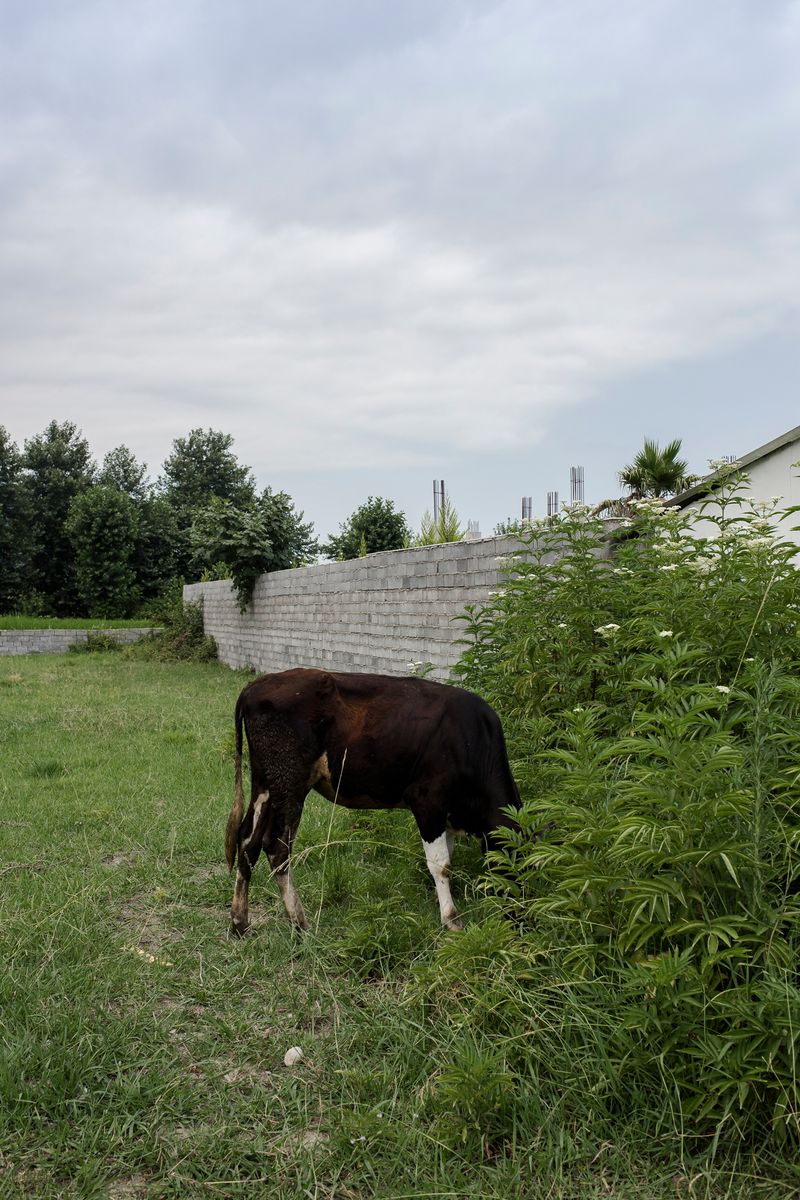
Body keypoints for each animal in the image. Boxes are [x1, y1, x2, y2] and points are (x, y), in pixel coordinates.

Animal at [224, 667, 521, 938]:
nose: (518, 919)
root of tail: (255, 686)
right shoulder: (427, 802)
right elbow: (441, 864)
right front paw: (452, 920)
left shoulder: (446, 814)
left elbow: (448, 856)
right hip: (289, 782)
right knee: (276, 847)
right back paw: (300, 922)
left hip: (266, 783)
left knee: (248, 840)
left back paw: (240, 922)